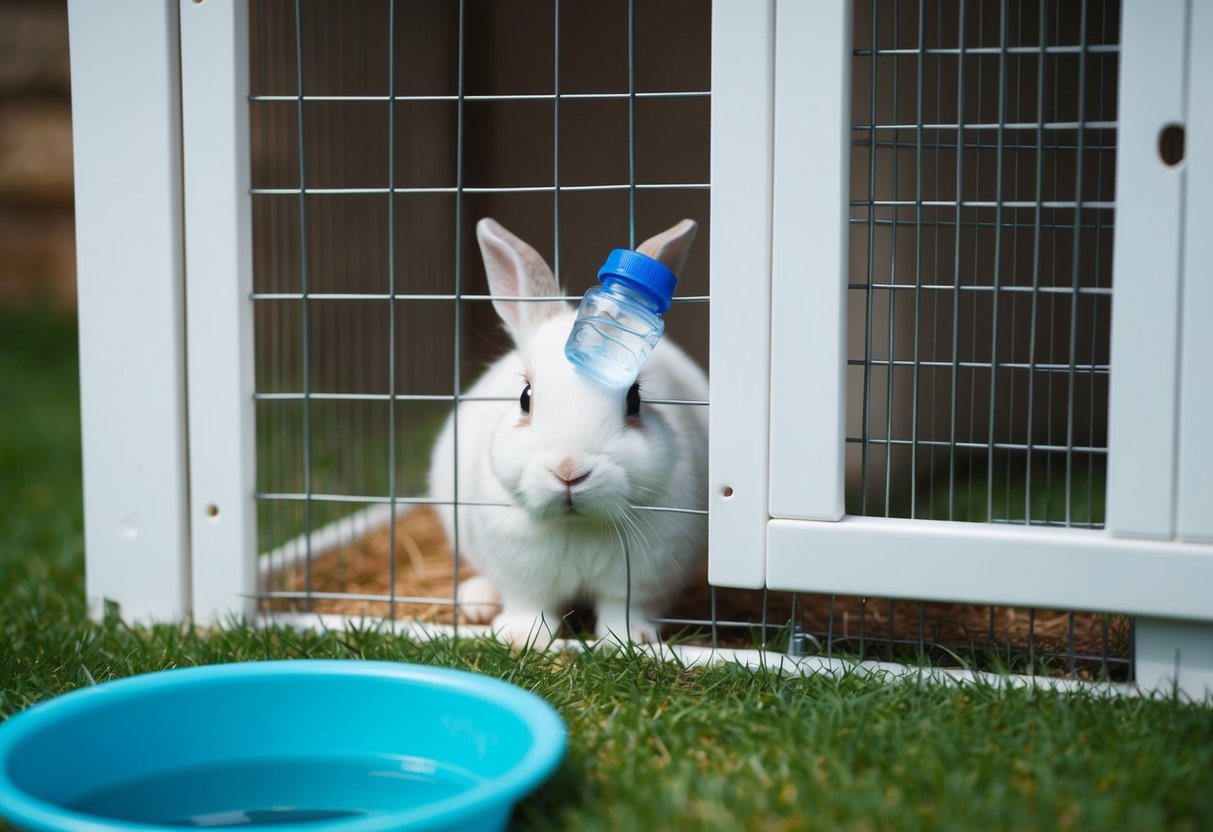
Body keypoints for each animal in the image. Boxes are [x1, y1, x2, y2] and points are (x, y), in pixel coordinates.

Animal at [429, 218, 708, 650]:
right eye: (525, 398)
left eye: (634, 400)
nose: (568, 470)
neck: (577, 524)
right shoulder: (523, 578)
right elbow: (531, 607)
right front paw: (519, 637)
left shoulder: (641, 581)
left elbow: (622, 609)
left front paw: (631, 639)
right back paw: (476, 602)